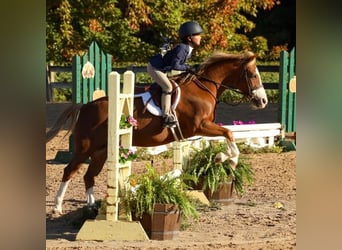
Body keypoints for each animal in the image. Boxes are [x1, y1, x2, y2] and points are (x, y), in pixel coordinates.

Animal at [47, 51, 268, 213]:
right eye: (253, 75)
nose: (263, 101)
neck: (204, 87)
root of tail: (84, 106)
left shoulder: (202, 129)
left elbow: (227, 135)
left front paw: (222, 158)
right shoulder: (200, 126)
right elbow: (229, 133)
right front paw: (228, 160)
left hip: (101, 151)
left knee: (88, 176)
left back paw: (92, 206)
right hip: (85, 148)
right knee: (69, 171)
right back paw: (57, 207)